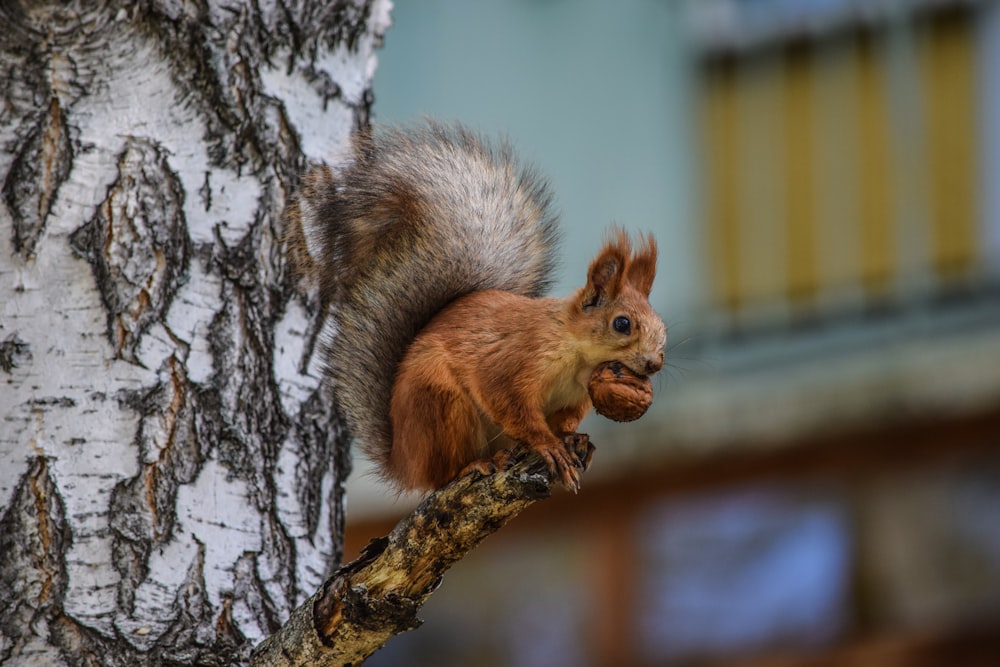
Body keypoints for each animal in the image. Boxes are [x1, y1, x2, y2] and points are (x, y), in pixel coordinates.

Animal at [284, 122, 664, 494]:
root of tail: (403, 462)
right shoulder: (514, 363)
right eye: (622, 324)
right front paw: (549, 444)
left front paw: (570, 438)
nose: (654, 364)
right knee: (441, 475)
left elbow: (564, 420)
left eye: (662, 331)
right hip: (442, 404)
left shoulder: (575, 397)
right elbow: (510, 405)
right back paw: (476, 464)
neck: (579, 357)